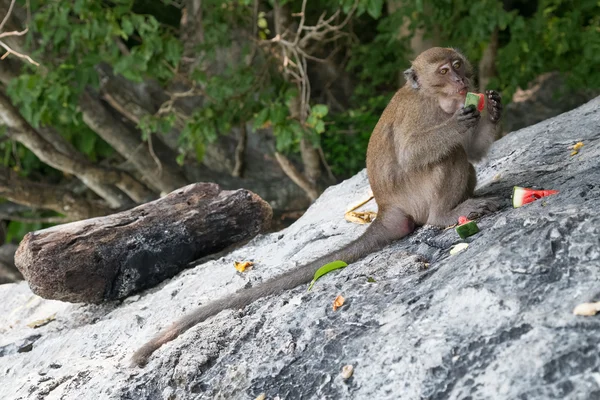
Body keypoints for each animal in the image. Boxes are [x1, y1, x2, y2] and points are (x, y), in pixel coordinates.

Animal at [131, 47, 502, 366]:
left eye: (457, 64)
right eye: (443, 71)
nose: (461, 79)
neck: (437, 98)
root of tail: (385, 207)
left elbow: (473, 151)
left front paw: (494, 109)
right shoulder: (420, 113)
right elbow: (414, 152)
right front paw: (456, 124)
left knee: (461, 158)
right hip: (415, 195)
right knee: (448, 158)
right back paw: (445, 215)